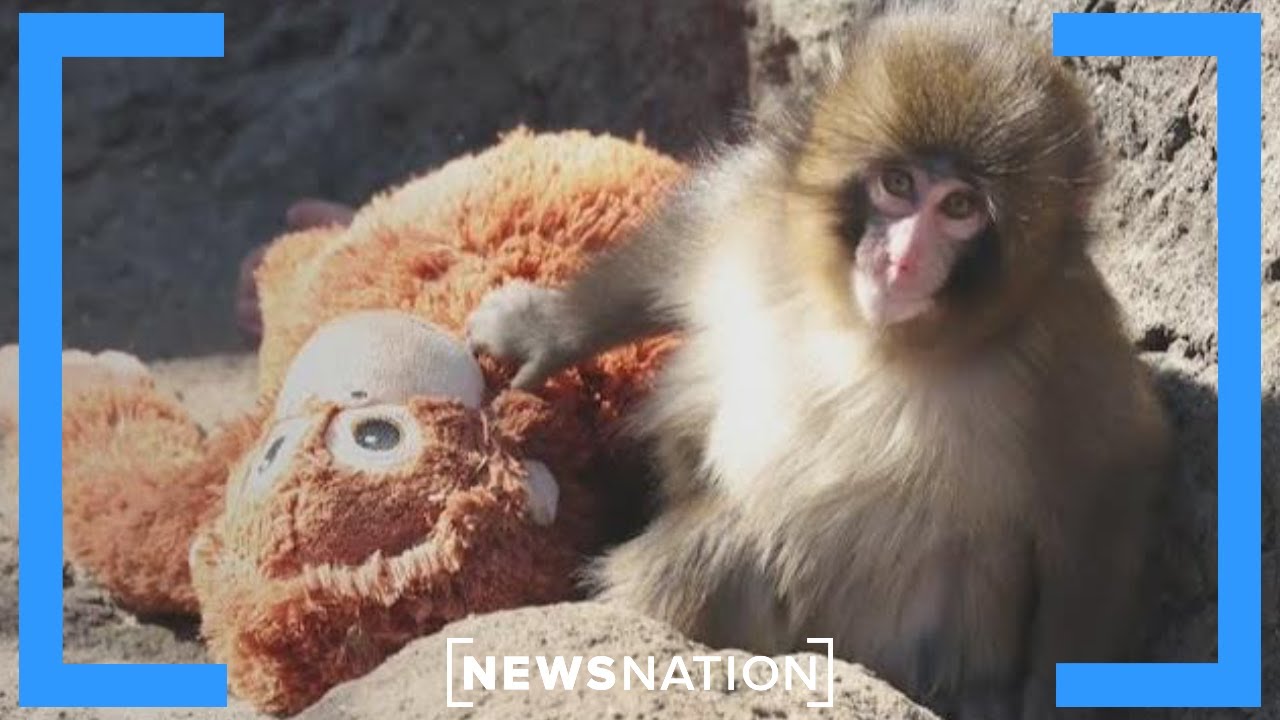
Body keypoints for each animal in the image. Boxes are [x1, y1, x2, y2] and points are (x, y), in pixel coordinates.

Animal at [466, 8, 1171, 719]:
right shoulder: (760, 212)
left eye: (959, 207)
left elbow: (1103, 493)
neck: (871, 333)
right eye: (898, 185)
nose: (901, 260)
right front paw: (545, 330)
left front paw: (1056, 702)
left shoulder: (1067, 346)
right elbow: (680, 242)